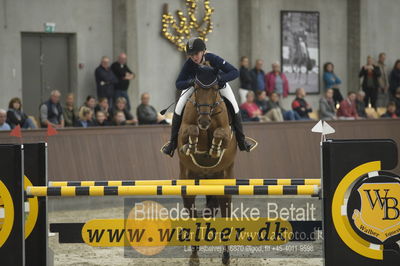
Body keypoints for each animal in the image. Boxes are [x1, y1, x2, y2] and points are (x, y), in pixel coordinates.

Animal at [177, 65, 236, 264]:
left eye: (215, 88)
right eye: (195, 87)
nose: (204, 120)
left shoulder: (225, 132)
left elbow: (219, 134)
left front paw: (215, 149)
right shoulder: (186, 129)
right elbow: (192, 131)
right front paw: (192, 145)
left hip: (224, 184)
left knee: (223, 213)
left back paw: (226, 256)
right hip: (188, 185)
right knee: (193, 216)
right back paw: (194, 256)